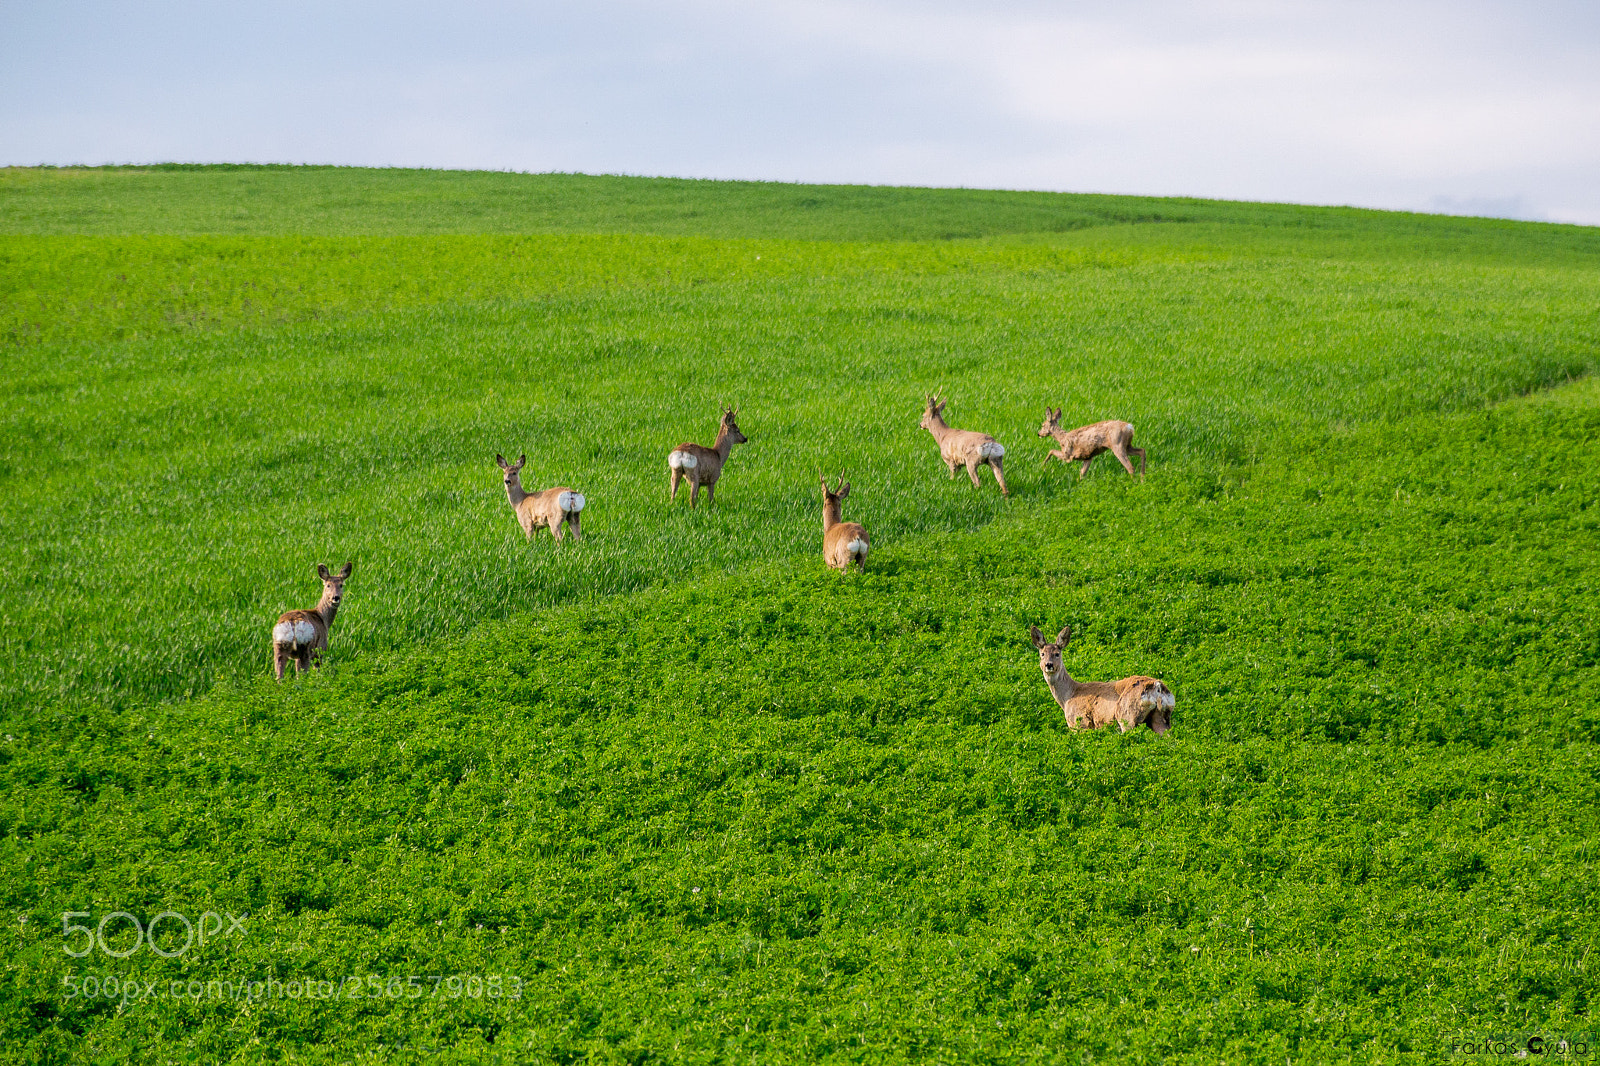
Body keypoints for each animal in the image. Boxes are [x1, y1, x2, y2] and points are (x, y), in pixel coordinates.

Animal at [1029, 624, 1173, 734]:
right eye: (1042, 654)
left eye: (1057, 654)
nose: (1049, 665)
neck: (1068, 696)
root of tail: (1157, 687)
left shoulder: (1080, 722)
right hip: (1161, 717)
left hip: (1128, 716)